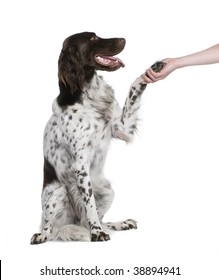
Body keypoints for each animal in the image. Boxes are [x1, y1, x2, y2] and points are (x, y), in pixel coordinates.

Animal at [30, 31, 164, 244]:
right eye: (92, 39)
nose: (124, 39)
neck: (87, 95)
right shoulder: (80, 164)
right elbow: (89, 205)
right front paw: (97, 233)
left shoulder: (122, 127)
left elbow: (133, 89)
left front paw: (151, 70)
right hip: (57, 191)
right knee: (50, 226)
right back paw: (42, 234)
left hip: (108, 190)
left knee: (93, 221)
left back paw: (121, 223)